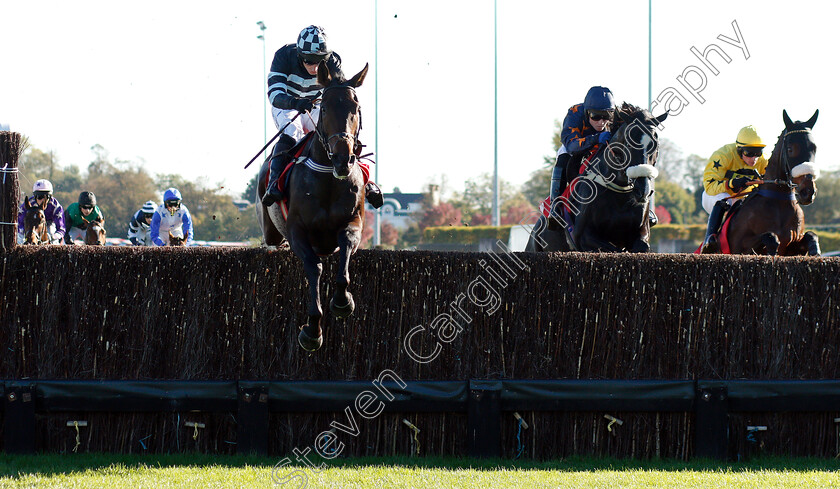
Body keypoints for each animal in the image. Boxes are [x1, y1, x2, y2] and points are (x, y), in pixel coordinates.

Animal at [256, 62, 368, 350]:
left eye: (356, 108)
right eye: (325, 108)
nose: (343, 159)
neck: (329, 176)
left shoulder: (354, 222)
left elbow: (345, 251)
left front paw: (342, 302)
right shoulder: (297, 230)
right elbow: (314, 267)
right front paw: (312, 330)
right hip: (271, 231)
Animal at [524, 104, 668, 254]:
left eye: (655, 144)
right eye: (629, 144)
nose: (644, 191)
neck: (619, 193)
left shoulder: (641, 232)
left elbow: (641, 246)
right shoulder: (583, 237)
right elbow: (614, 250)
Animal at [704, 110, 820, 255]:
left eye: (814, 148)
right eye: (790, 149)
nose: (808, 191)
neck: (778, 202)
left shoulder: (792, 247)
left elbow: (811, 235)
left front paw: (815, 250)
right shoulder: (739, 247)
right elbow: (770, 236)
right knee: (721, 203)